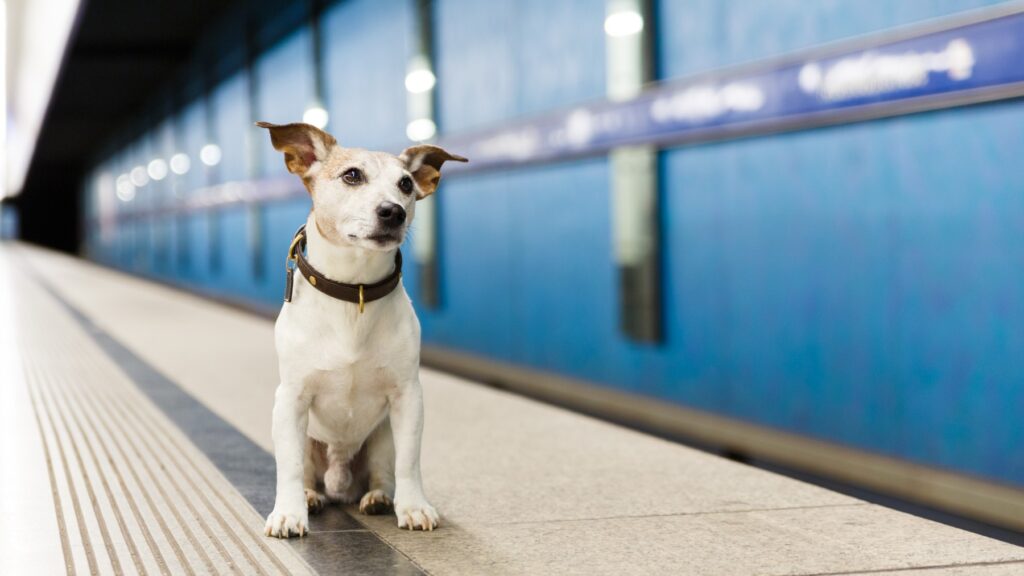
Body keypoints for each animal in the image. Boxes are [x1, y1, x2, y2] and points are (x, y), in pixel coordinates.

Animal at [256, 118, 468, 537]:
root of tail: (340, 484)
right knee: (306, 473)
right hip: (310, 441)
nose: (393, 212)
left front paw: (413, 506)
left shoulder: (408, 397)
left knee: (384, 472)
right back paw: (310, 496)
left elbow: (409, 463)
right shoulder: (290, 399)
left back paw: (379, 498)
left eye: (406, 184)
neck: (355, 292)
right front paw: (288, 513)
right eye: (352, 175)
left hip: (381, 438)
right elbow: (288, 467)